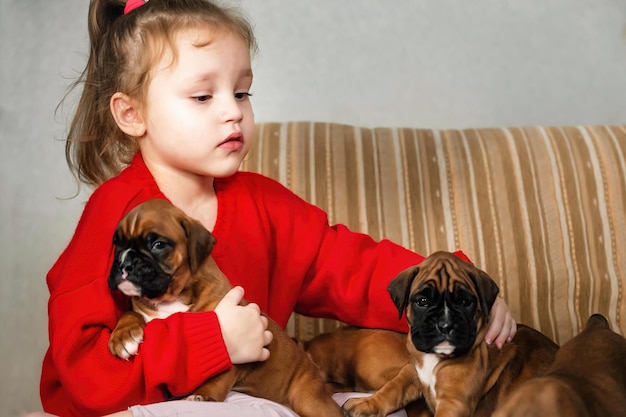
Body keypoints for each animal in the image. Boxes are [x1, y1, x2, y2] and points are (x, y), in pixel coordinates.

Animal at [106, 197, 342, 416]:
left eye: (158, 245)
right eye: (118, 244)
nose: (124, 262)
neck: (171, 298)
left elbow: (219, 376)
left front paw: (204, 395)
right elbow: (130, 314)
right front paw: (123, 336)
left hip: (309, 399)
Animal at [306, 250, 556, 416]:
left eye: (465, 302)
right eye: (422, 301)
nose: (444, 325)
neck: (434, 359)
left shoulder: (454, 401)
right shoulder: (412, 373)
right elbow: (393, 389)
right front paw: (367, 404)